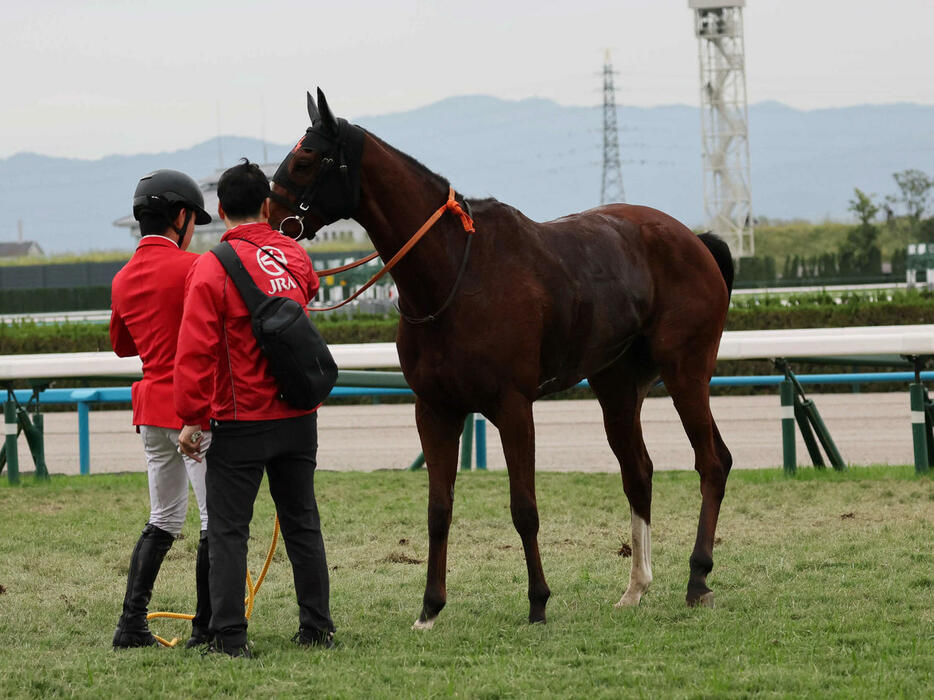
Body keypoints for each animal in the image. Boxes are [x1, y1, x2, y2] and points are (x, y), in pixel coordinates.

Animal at [268, 87, 740, 628]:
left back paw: (698, 576)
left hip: (687, 370)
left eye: (305, 159)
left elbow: (524, 509)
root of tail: (694, 240)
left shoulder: (513, 407)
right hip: (618, 385)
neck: (455, 274)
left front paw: (538, 601)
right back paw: (636, 586)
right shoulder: (434, 409)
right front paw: (430, 607)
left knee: (712, 463)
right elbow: (439, 510)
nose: (268, 217)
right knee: (638, 473)